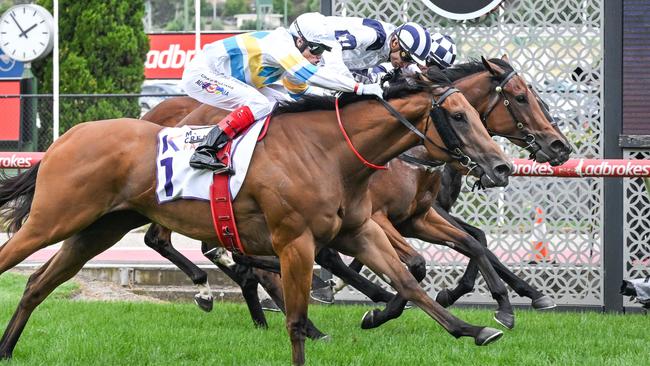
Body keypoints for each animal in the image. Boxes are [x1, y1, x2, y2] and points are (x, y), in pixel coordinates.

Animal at [0, 68, 508, 364]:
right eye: (458, 117)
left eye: (476, 112)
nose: (501, 166)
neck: (329, 151)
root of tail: (66, 138)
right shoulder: (295, 242)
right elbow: (296, 320)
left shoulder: (359, 231)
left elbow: (408, 282)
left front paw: (475, 329)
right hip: (52, 219)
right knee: (15, 261)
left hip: (97, 230)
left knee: (37, 283)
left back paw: (7, 349)